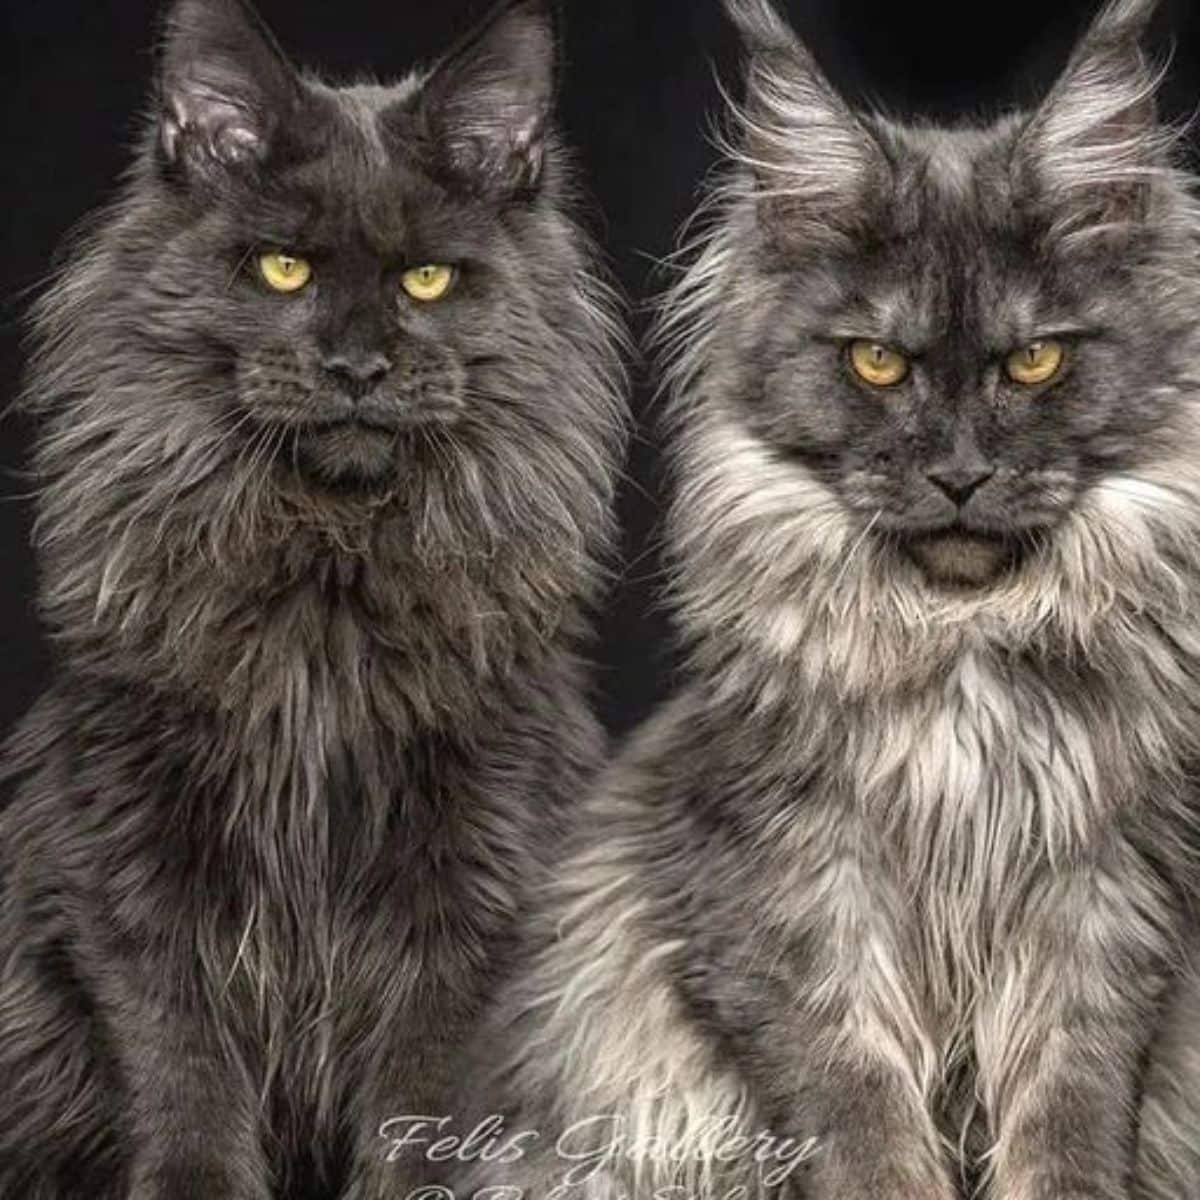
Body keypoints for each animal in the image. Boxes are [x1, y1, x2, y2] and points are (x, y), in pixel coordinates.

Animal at [0, 2, 628, 1200]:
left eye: (427, 281)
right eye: (283, 269)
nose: (356, 368)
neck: (324, 581)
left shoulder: (473, 882)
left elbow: (422, 1119)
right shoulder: (134, 871)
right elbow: (187, 1090)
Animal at [451, 2, 1200, 1200]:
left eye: (1036, 361)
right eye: (878, 363)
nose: (958, 474)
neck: (960, 654)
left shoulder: (1102, 908)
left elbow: (1065, 1134)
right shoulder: (788, 907)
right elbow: (863, 1130)